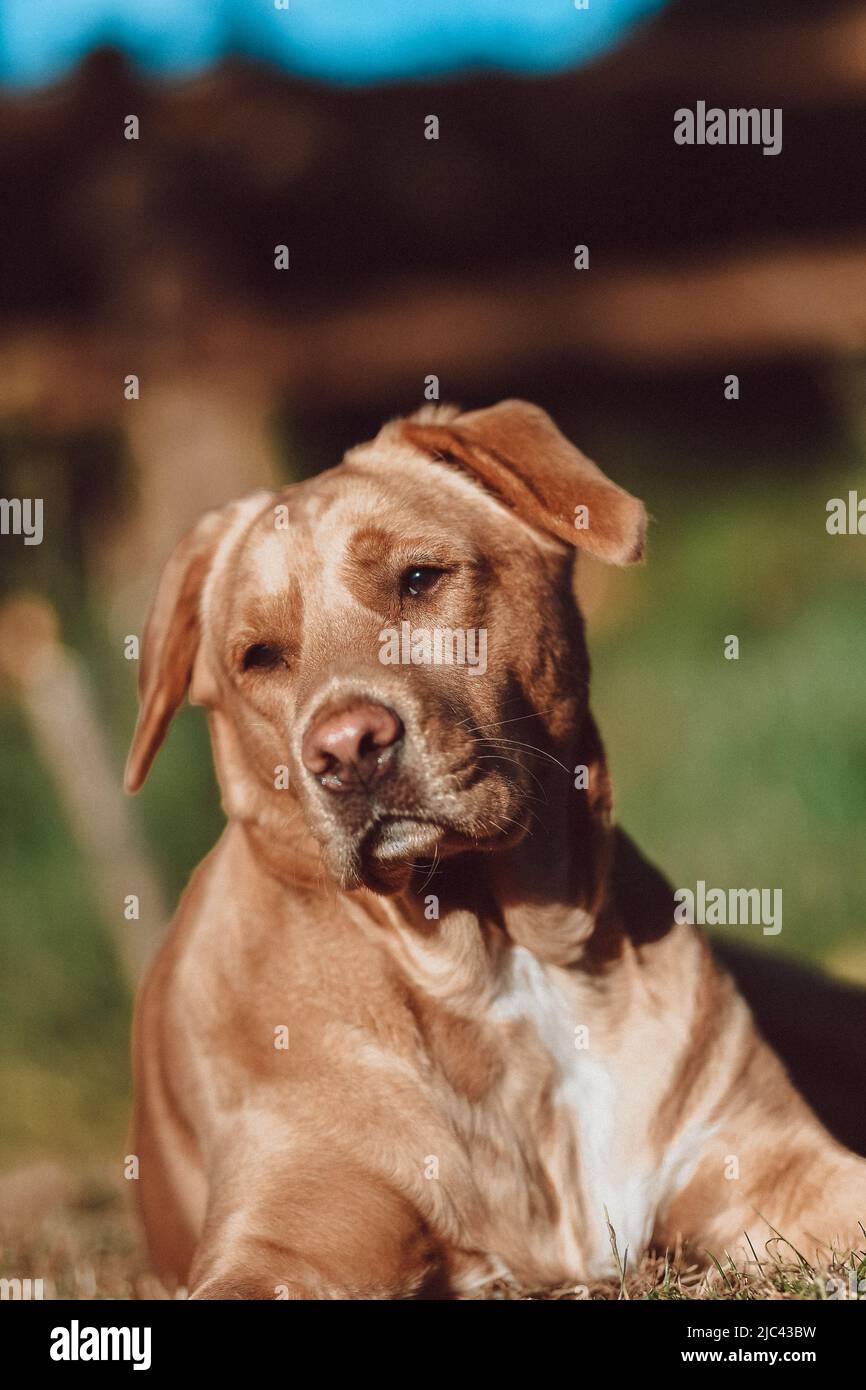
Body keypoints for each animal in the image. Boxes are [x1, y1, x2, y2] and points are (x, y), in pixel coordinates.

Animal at [127, 405, 866, 1301]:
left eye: (419, 579)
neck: (500, 962)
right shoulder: (281, 1239)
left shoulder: (765, 1164)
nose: (345, 749)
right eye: (258, 656)